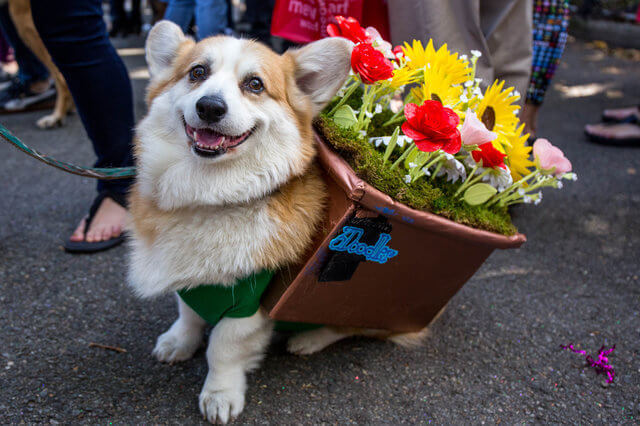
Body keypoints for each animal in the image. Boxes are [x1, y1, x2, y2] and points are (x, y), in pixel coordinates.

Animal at [129, 19, 430, 422]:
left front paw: (220, 395)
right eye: (197, 73)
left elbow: (223, 347)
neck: (209, 192)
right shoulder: (192, 282)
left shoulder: (253, 302)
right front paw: (178, 342)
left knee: (347, 324)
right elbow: (188, 312)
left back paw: (308, 339)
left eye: (255, 84)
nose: (209, 107)